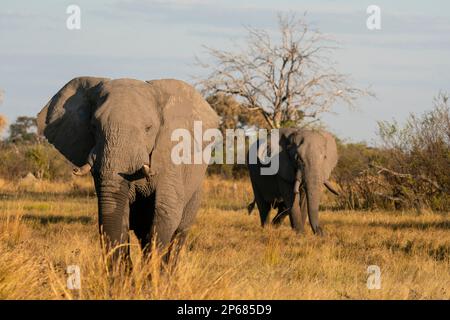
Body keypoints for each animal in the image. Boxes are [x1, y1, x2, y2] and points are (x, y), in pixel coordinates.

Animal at [36, 77, 218, 264]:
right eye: (93, 126)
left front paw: (151, 271)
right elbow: (118, 211)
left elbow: (166, 212)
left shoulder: (170, 158)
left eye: (148, 128)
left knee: (178, 234)